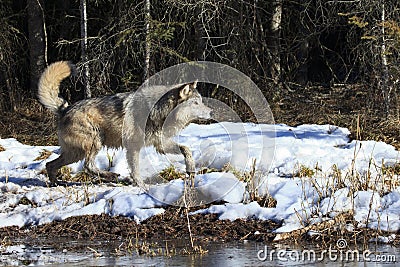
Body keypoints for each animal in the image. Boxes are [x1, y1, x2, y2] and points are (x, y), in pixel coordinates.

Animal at [37, 61, 212, 186]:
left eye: (201, 101)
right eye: (196, 103)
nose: (211, 112)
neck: (159, 111)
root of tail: (65, 108)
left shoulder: (160, 144)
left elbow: (186, 149)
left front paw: (191, 169)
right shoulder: (133, 147)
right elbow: (136, 171)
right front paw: (141, 186)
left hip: (74, 153)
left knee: (50, 164)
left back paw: (56, 183)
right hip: (94, 142)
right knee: (87, 166)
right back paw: (110, 175)